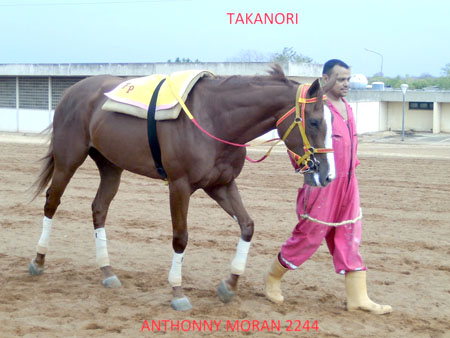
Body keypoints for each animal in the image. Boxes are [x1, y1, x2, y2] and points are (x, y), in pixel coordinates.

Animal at [28, 64, 336, 312]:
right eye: (314, 121)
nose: (328, 175)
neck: (215, 118)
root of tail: (72, 91)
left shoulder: (221, 185)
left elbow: (247, 226)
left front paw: (230, 284)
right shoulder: (179, 186)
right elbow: (181, 237)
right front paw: (177, 292)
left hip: (111, 166)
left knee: (99, 209)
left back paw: (107, 271)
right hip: (68, 160)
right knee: (51, 203)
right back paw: (39, 261)